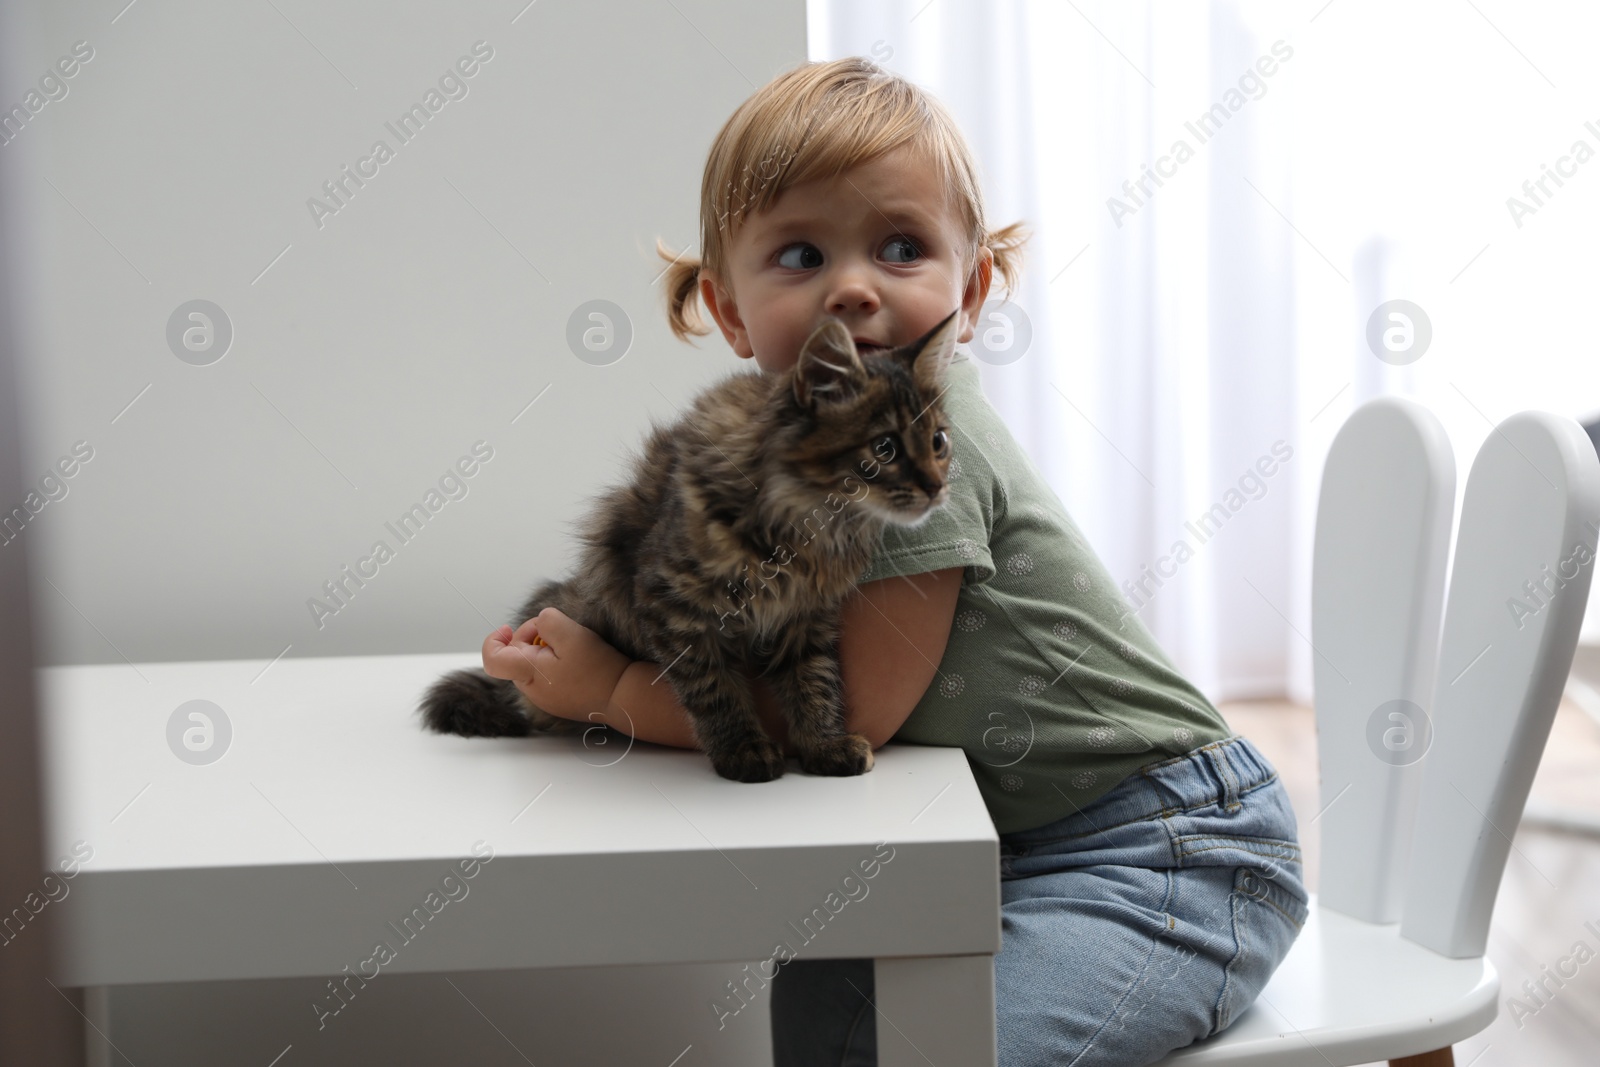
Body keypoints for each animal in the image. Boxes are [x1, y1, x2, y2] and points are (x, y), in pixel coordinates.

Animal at [419, 303, 953, 780]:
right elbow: (714, 687)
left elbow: (815, 680)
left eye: (939, 442)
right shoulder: (675, 608)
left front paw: (824, 745)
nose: (937, 486)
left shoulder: (807, 616)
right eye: (884, 448)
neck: (809, 529)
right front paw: (744, 751)